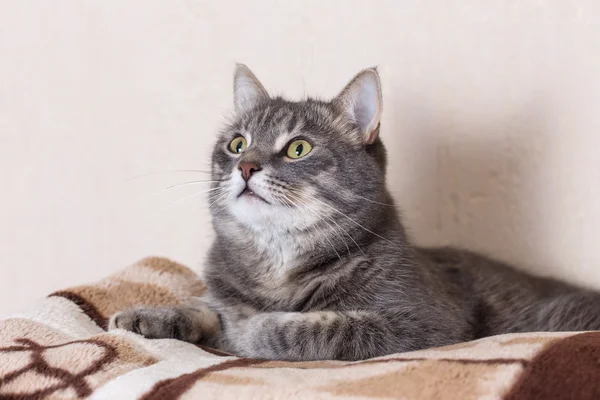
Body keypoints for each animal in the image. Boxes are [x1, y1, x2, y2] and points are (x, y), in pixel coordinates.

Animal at [110, 64, 600, 360]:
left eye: (298, 148)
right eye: (237, 143)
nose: (246, 165)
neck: (277, 262)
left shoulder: (424, 325)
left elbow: (314, 327)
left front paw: (249, 329)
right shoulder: (221, 293)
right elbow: (202, 306)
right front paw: (147, 316)